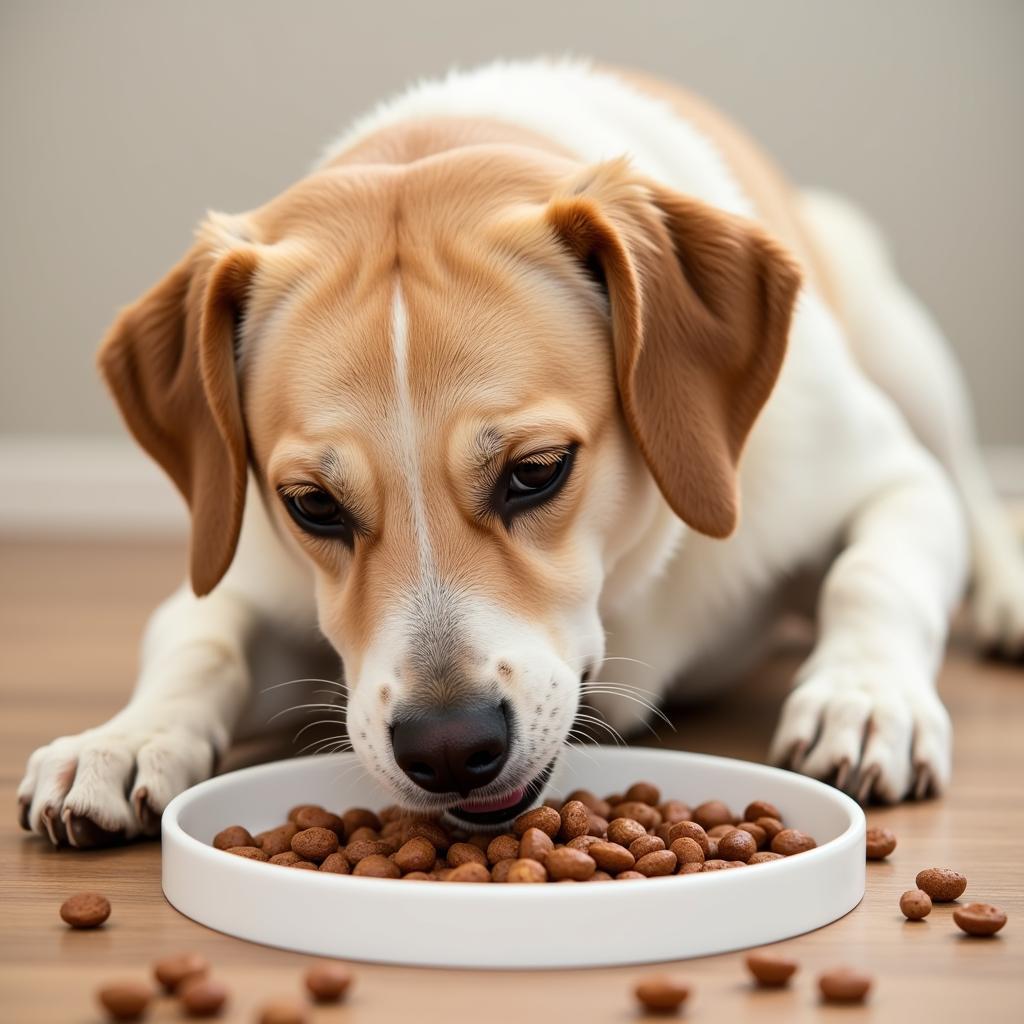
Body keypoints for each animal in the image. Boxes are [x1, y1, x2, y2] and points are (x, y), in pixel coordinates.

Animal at [18, 58, 1024, 847]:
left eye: (537, 472)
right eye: (312, 505)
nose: (447, 747)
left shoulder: (888, 482)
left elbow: (875, 574)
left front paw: (865, 699)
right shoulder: (253, 581)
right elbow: (197, 640)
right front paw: (123, 739)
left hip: (904, 349)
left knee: (971, 486)